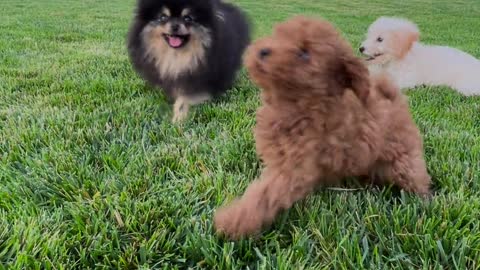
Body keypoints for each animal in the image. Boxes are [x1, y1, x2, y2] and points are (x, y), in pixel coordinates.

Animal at [214, 16, 432, 239]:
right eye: (277, 35)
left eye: (304, 53)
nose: (263, 51)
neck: (299, 105)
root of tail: (395, 99)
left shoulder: (294, 170)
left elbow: (264, 195)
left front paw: (233, 220)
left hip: (403, 161)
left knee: (417, 177)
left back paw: (425, 201)